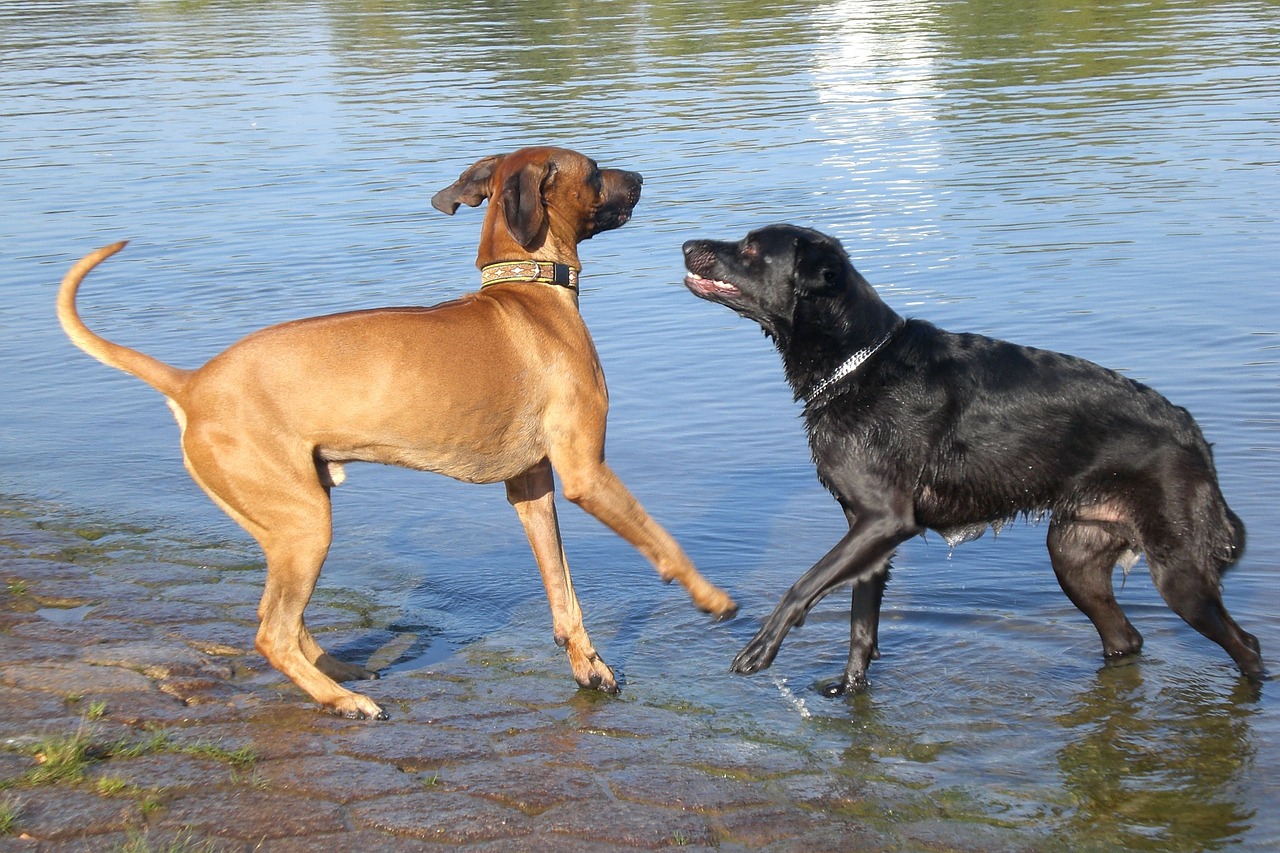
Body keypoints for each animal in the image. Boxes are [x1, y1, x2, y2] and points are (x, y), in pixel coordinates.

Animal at [60, 147, 737, 717]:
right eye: (595, 171)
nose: (642, 176)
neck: (528, 287)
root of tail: (193, 383)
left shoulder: (533, 489)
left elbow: (562, 590)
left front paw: (588, 664)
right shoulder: (585, 474)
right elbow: (660, 539)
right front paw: (711, 597)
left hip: (286, 522)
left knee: (285, 620)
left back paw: (337, 668)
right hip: (304, 523)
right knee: (271, 632)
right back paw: (341, 700)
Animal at [686, 224, 1264, 691]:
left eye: (752, 247)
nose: (688, 245)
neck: (858, 362)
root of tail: (1192, 433)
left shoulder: (884, 521)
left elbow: (802, 585)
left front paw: (760, 649)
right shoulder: (867, 533)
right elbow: (860, 628)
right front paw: (847, 690)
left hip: (1178, 574)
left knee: (1248, 648)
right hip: (1074, 556)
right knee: (1126, 640)